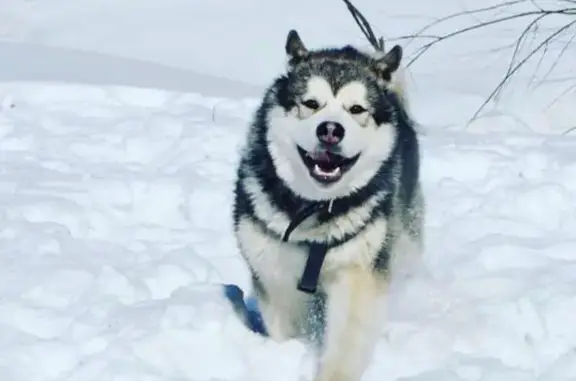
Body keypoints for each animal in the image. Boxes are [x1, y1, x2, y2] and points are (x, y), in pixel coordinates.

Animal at [228, 31, 424, 380]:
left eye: (356, 109)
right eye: (311, 104)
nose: (331, 129)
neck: (315, 209)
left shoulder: (357, 269)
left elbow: (347, 337)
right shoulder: (274, 270)